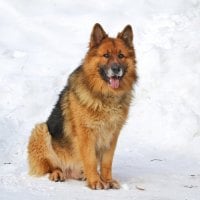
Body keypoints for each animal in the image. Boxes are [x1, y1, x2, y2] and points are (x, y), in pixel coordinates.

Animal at [28, 23, 137, 189]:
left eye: (121, 56)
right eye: (106, 55)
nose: (116, 69)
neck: (105, 97)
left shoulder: (112, 135)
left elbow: (107, 162)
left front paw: (107, 180)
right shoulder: (86, 134)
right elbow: (90, 160)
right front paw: (96, 182)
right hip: (40, 130)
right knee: (50, 166)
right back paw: (57, 173)